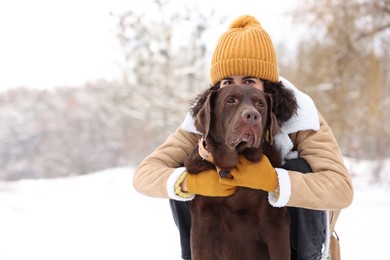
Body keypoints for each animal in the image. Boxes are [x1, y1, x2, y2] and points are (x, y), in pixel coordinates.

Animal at [186, 84, 292, 258]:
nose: (252, 116)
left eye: (260, 104)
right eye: (231, 100)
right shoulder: (202, 224)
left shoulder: (275, 224)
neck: (231, 166)